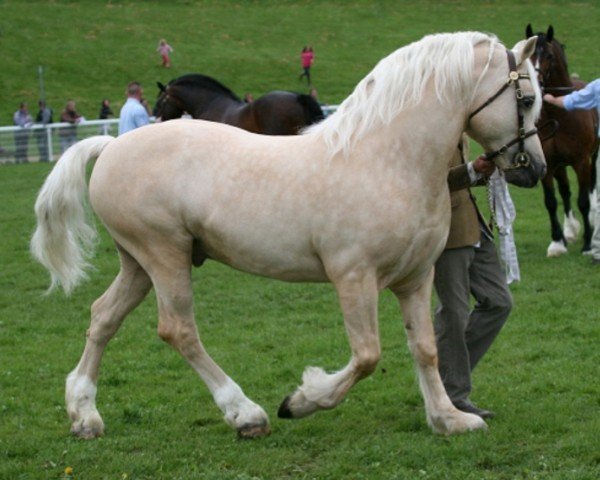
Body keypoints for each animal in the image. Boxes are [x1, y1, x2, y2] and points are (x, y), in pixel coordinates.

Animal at [524, 23, 600, 255]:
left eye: (549, 55)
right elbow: (551, 201)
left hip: (592, 158)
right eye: (528, 55)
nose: (536, 87)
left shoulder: (581, 162)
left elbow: (583, 201)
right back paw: (569, 231)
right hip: (559, 166)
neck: (560, 115)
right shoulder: (548, 164)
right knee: (565, 192)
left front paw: (587, 243)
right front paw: (557, 241)